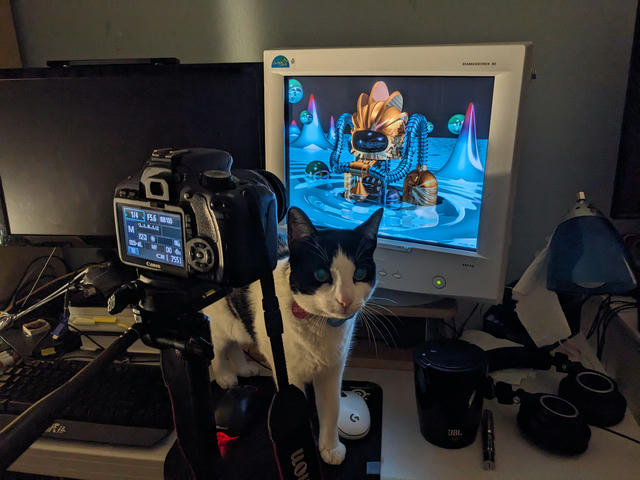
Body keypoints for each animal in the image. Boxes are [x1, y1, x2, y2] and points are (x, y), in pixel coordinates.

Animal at [204, 206, 380, 464]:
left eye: (359, 272)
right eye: (321, 274)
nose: (345, 300)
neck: (319, 324)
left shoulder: (332, 370)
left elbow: (332, 410)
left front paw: (330, 448)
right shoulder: (290, 376)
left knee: (236, 342)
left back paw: (243, 368)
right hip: (218, 320)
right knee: (218, 345)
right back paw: (225, 375)